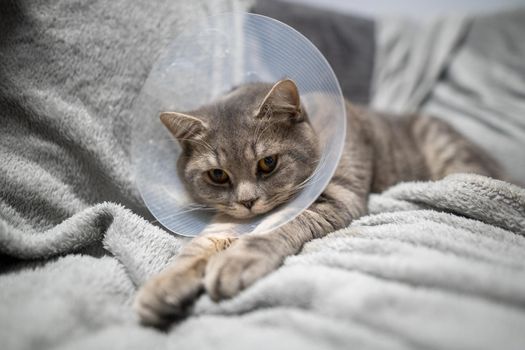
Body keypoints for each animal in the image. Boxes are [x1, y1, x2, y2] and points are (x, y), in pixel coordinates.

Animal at [133, 78, 502, 326]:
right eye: (218, 175)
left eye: (268, 163)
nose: (248, 202)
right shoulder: (227, 221)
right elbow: (198, 248)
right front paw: (164, 285)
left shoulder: (338, 197)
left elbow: (273, 230)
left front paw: (236, 261)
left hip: (452, 155)